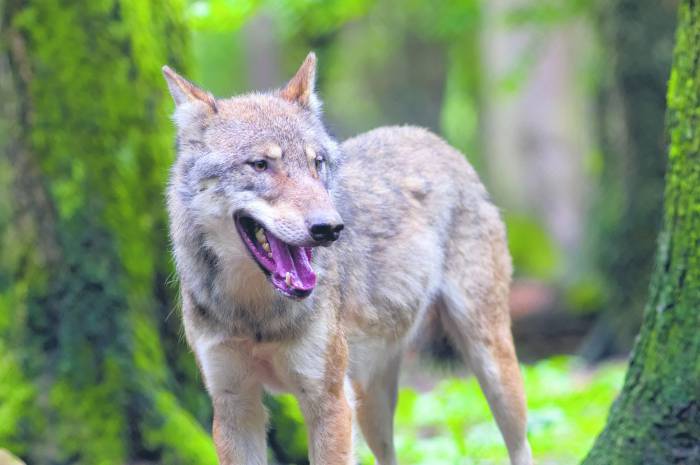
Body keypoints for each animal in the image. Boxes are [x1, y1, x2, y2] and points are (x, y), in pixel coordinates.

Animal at [163, 52, 532, 462]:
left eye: (317, 163)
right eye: (261, 164)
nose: (330, 228)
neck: (255, 314)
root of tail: (432, 138)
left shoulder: (328, 401)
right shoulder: (234, 405)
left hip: (492, 366)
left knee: (522, 445)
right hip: (370, 400)